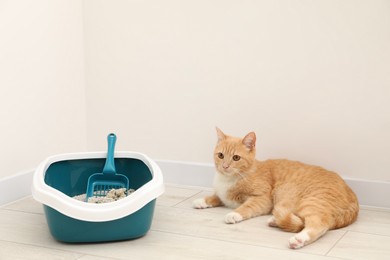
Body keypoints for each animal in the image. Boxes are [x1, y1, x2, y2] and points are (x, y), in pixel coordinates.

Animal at [193, 127, 360, 248]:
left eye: (236, 158)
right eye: (220, 155)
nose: (225, 166)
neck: (229, 179)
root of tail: (354, 200)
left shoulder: (262, 199)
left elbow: (246, 207)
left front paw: (234, 214)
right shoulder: (223, 194)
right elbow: (216, 196)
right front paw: (202, 201)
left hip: (312, 201)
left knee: (319, 223)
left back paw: (299, 239)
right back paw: (275, 221)